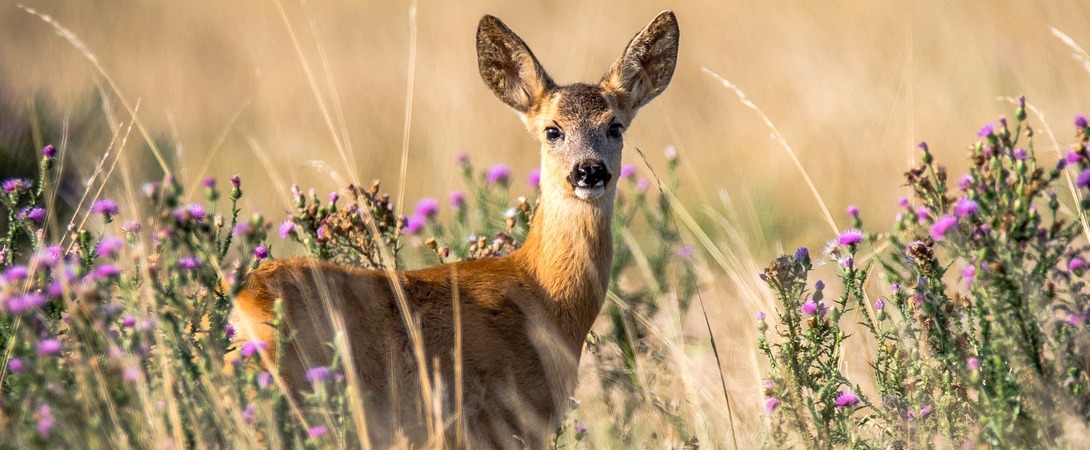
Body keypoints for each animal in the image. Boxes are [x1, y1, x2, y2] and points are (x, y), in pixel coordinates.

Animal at [232, 10, 678, 449]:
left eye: (615, 127)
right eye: (552, 130)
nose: (589, 171)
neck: (543, 295)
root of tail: (243, 302)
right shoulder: (502, 421)